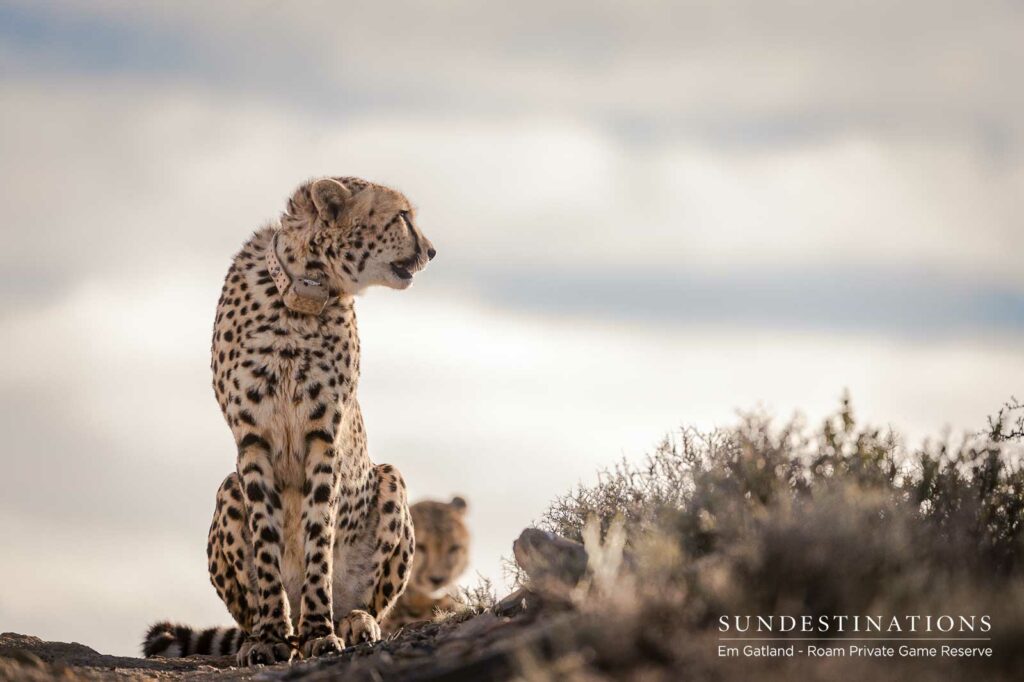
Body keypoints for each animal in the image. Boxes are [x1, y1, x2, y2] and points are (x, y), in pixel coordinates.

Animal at [142, 176, 435, 665]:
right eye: (401, 216)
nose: (431, 251)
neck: (303, 296)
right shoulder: (252, 440)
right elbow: (266, 543)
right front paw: (269, 638)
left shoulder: (324, 437)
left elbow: (319, 534)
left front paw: (320, 631)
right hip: (227, 489)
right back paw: (266, 633)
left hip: (391, 479)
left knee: (365, 601)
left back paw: (352, 621)